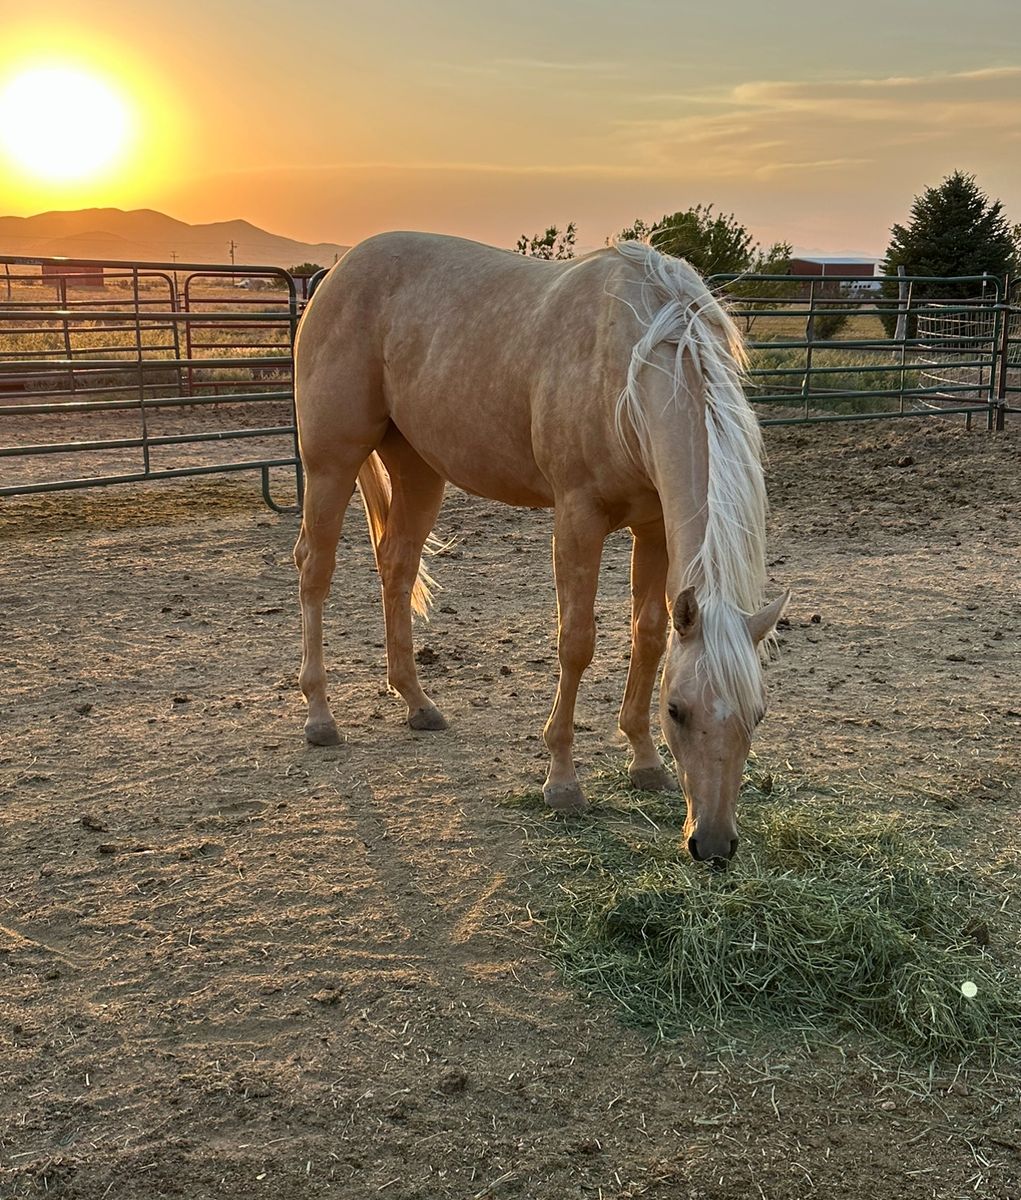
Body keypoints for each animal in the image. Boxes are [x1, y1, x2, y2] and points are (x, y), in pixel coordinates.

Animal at [292, 233, 788, 865]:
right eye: (678, 710)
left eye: (757, 713)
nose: (715, 845)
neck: (633, 361)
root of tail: (337, 272)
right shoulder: (577, 518)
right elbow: (575, 643)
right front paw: (562, 782)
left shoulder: (652, 528)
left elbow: (649, 636)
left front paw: (644, 762)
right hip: (331, 463)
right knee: (315, 570)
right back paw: (319, 716)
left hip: (419, 468)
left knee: (397, 566)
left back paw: (417, 703)